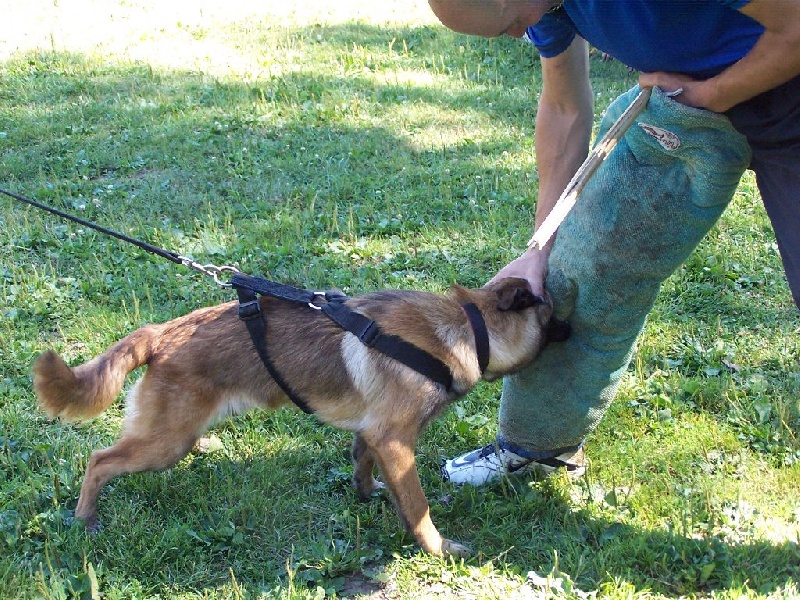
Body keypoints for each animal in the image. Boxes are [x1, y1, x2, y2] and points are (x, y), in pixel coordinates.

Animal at [34, 278, 564, 556]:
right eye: (551, 311)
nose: (575, 323)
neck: (466, 328)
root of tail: (161, 332)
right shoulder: (396, 441)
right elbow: (418, 508)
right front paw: (439, 549)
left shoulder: (374, 436)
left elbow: (361, 462)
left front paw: (365, 493)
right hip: (162, 445)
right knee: (99, 461)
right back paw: (85, 518)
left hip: (175, 431)